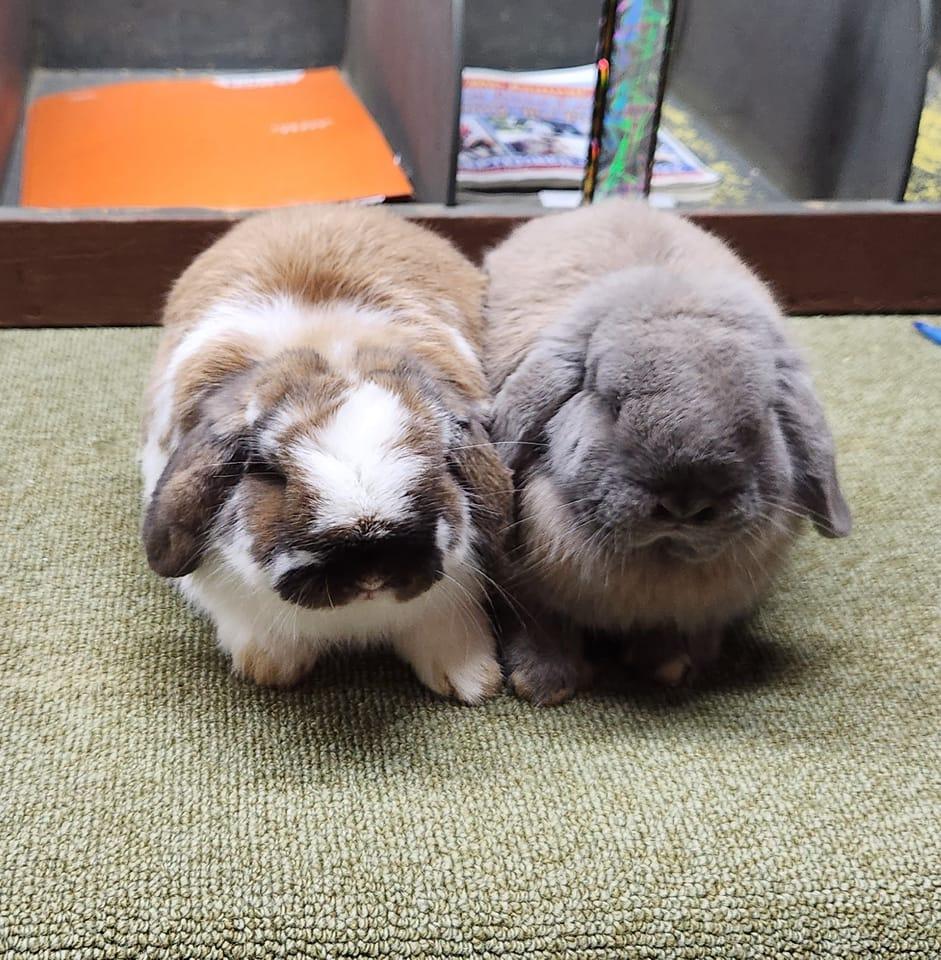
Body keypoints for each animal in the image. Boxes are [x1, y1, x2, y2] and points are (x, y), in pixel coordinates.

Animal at [141, 205, 513, 703]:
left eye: (438, 461)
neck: (330, 350)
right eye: (267, 471)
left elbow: (444, 631)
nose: (371, 569)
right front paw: (270, 668)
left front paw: (471, 680)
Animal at [484, 199, 851, 704]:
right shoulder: (524, 587)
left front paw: (670, 665)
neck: (659, 562)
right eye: (610, 401)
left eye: (758, 419)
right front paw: (543, 683)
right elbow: (541, 620)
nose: (684, 506)